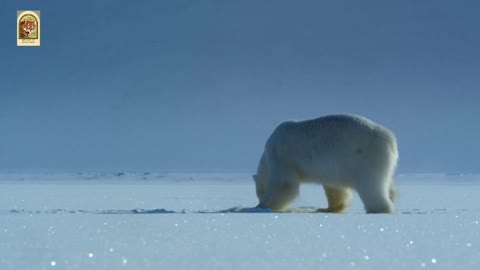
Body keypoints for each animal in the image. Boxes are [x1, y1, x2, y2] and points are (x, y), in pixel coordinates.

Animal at [253, 114, 400, 213]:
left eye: (259, 191)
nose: (259, 199)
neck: (266, 158)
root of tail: (390, 138)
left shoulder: (281, 156)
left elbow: (284, 183)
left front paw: (261, 206)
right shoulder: (334, 169)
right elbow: (335, 188)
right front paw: (328, 209)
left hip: (364, 157)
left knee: (370, 186)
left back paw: (379, 209)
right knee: (386, 183)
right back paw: (391, 196)